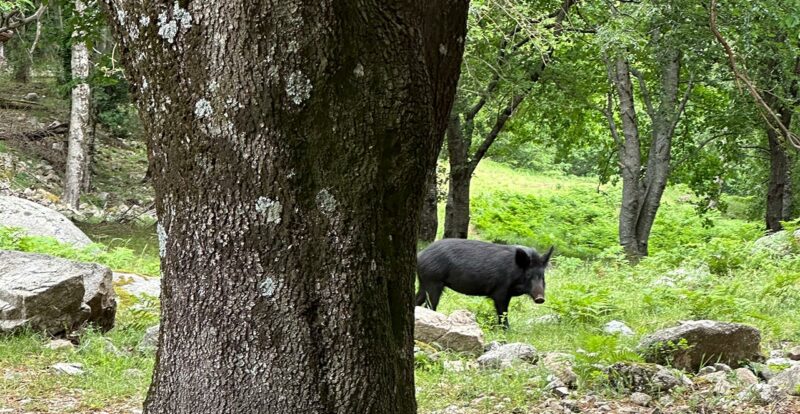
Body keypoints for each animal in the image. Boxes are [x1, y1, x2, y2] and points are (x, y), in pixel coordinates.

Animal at [415, 239, 554, 329]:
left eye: (542, 276)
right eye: (528, 275)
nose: (540, 298)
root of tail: (420, 255)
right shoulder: (500, 291)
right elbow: (503, 312)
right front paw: (507, 330)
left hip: (424, 282)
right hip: (433, 282)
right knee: (429, 305)